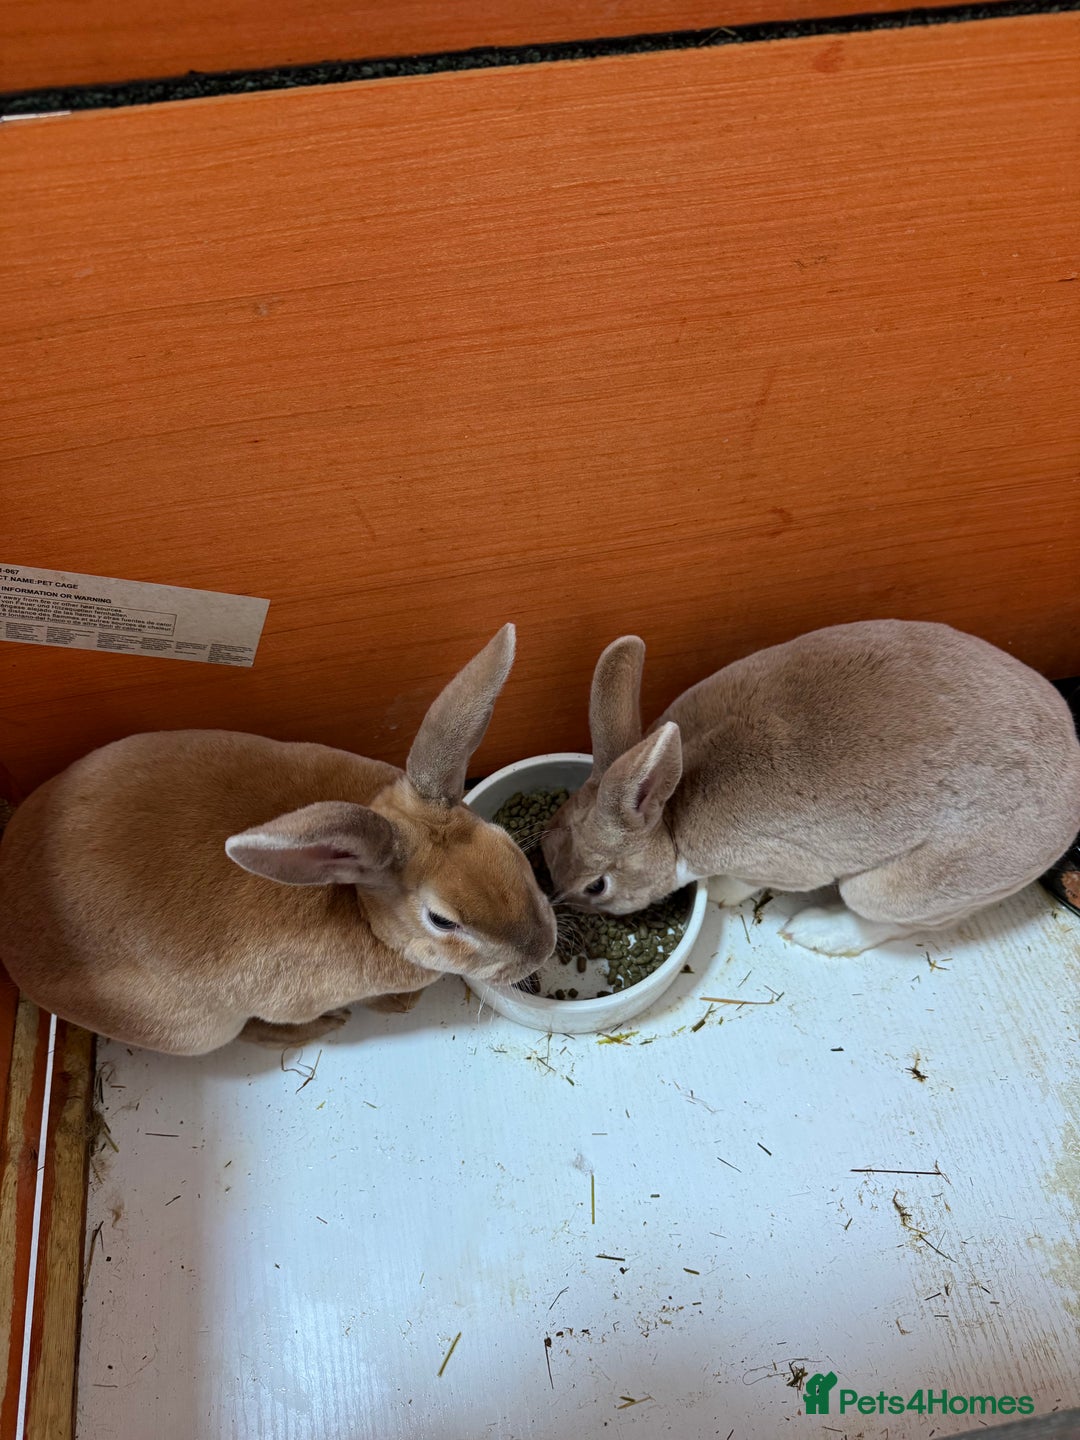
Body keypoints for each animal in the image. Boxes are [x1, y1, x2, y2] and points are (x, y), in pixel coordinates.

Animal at [0, 624, 556, 1054]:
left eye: (507, 845)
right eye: (442, 921)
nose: (542, 948)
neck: (363, 910)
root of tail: (14, 947)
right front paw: (394, 1004)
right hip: (200, 1028)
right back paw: (326, 1026)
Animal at [542, 620, 1080, 957]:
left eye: (596, 886)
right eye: (547, 837)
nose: (563, 903)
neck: (670, 817)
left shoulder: (769, 860)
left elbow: (744, 881)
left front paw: (719, 895)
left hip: (906, 886)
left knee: (885, 918)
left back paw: (816, 931)